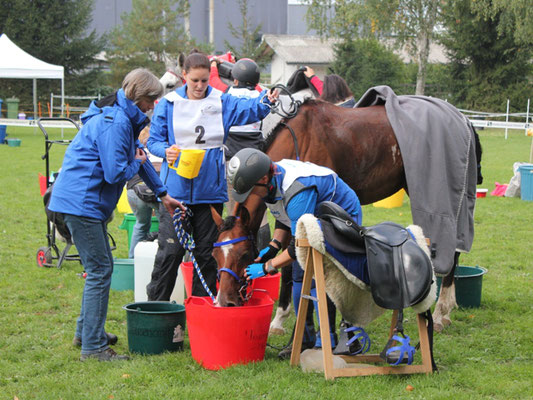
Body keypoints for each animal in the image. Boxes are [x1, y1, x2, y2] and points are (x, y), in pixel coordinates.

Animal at [210, 94, 480, 334]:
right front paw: (279, 319)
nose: (225, 302)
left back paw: (442, 311)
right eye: (215, 255)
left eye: (244, 254)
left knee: (452, 252)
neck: (302, 138)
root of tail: (462, 118)